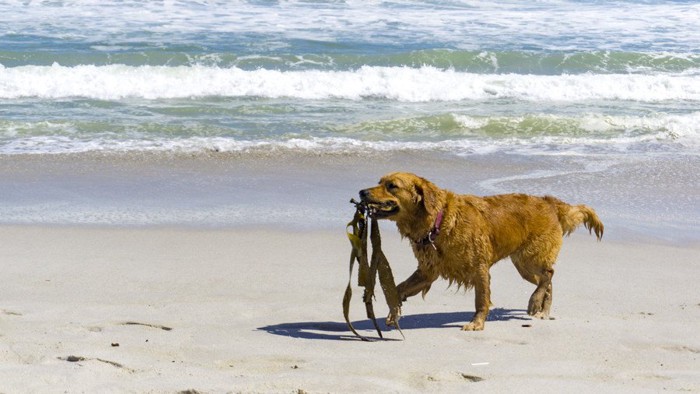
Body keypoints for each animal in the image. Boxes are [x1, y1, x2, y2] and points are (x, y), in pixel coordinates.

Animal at [358, 172, 604, 330]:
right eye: (380, 182)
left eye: (392, 185)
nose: (361, 192)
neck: (439, 221)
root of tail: (549, 202)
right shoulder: (428, 271)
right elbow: (399, 288)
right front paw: (394, 310)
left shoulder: (479, 268)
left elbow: (481, 299)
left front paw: (477, 323)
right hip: (523, 265)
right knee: (548, 280)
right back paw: (543, 309)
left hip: (531, 257)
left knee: (549, 274)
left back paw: (535, 302)